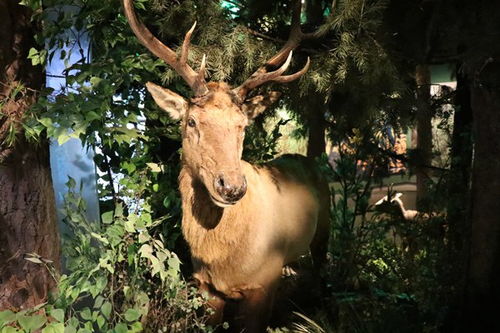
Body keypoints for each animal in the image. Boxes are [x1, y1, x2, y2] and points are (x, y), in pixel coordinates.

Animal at [121, 1, 330, 330]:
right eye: (192, 121)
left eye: (242, 125)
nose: (231, 186)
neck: (223, 261)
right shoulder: (206, 287)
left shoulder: (263, 283)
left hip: (326, 226)